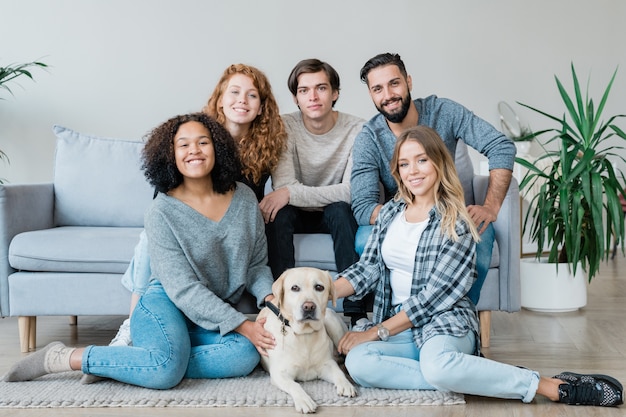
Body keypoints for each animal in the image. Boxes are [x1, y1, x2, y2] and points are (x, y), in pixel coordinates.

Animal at [258, 266, 356, 412]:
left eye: (319, 287)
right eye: (294, 288)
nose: (309, 306)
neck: (304, 334)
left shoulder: (327, 364)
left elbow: (338, 373)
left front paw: (346, 384)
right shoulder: (280, 373)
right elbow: (294, 385)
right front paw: (304, 400)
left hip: (332, 323)